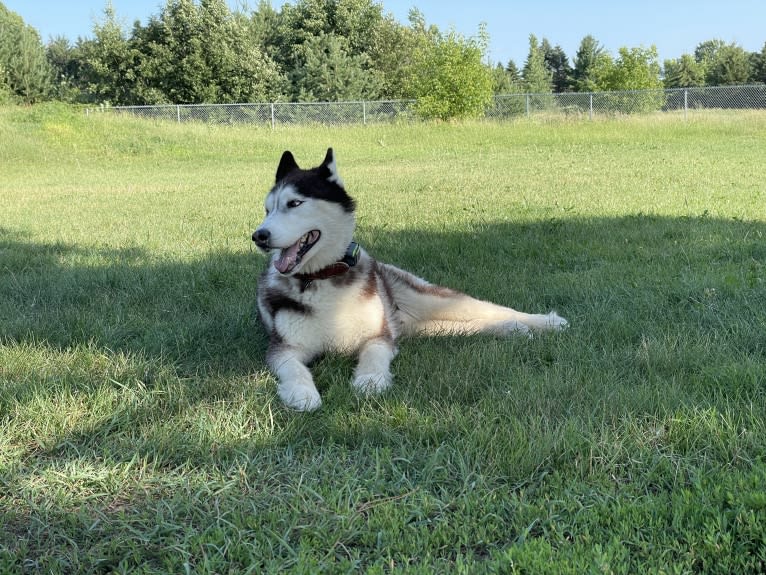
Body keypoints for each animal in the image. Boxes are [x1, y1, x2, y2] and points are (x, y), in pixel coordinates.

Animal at [255, 147, 568, 410]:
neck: (323, 278)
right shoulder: (284, 349)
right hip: (424, 327)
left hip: (431, 300)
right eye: (267, 209)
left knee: (491, 309)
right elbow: (295, 369)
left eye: (295, 203)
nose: (259, 236)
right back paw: (512, 329)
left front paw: (370, 381)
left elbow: (373, 356)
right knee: (466, 326)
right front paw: (302, 393)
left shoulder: (379, 337)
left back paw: (545, 322)